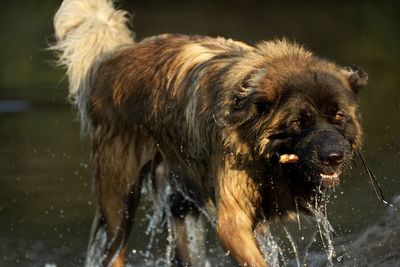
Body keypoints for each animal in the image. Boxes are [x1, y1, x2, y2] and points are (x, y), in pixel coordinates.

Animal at [50, 0, 368, 267]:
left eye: (339, 117)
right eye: (298, 123)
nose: (333, 156)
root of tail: (110, 58)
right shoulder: (232, 219)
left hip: (180, 197)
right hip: (119, 200)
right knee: (114, 249)